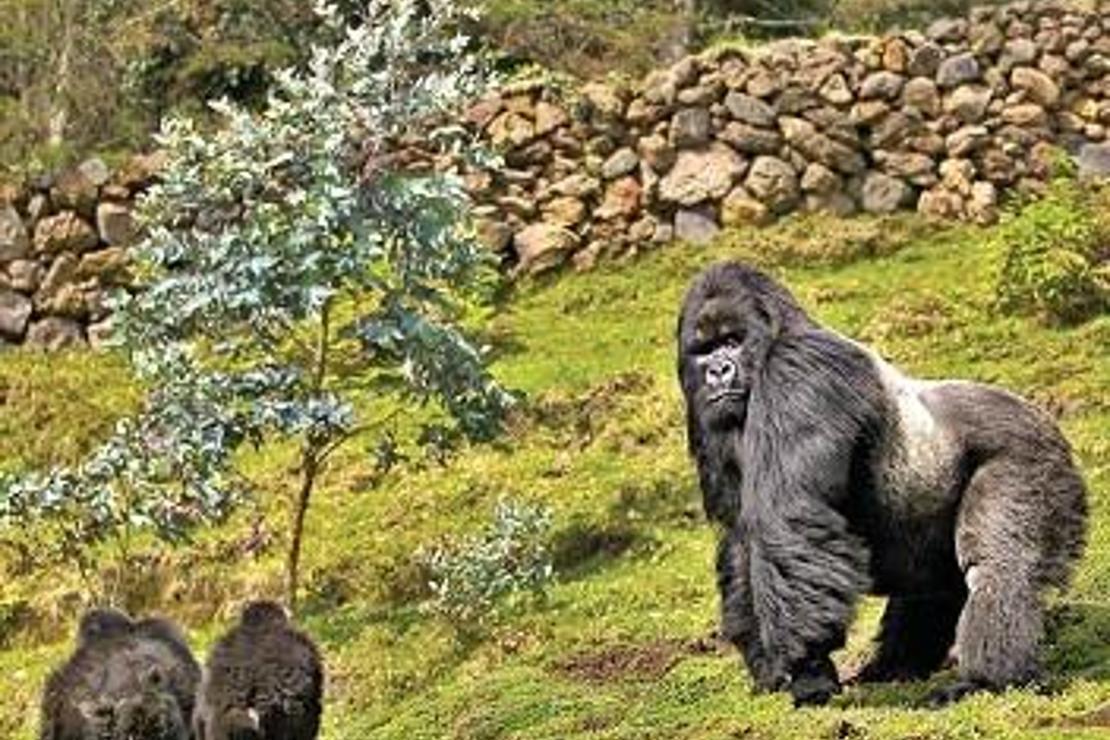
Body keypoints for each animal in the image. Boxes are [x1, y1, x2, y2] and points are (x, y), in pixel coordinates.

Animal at [674, 262, 1083, 710]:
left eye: (732, 341)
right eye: (705, 349)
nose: (717, 371)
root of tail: (1043, 417)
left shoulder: (798, 369)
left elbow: (789, 519)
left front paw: (808, 668)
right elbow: (741, 536)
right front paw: (770, 667)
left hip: (1030, 452)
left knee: (997, 568)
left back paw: (986, 679)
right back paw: (895, 667)